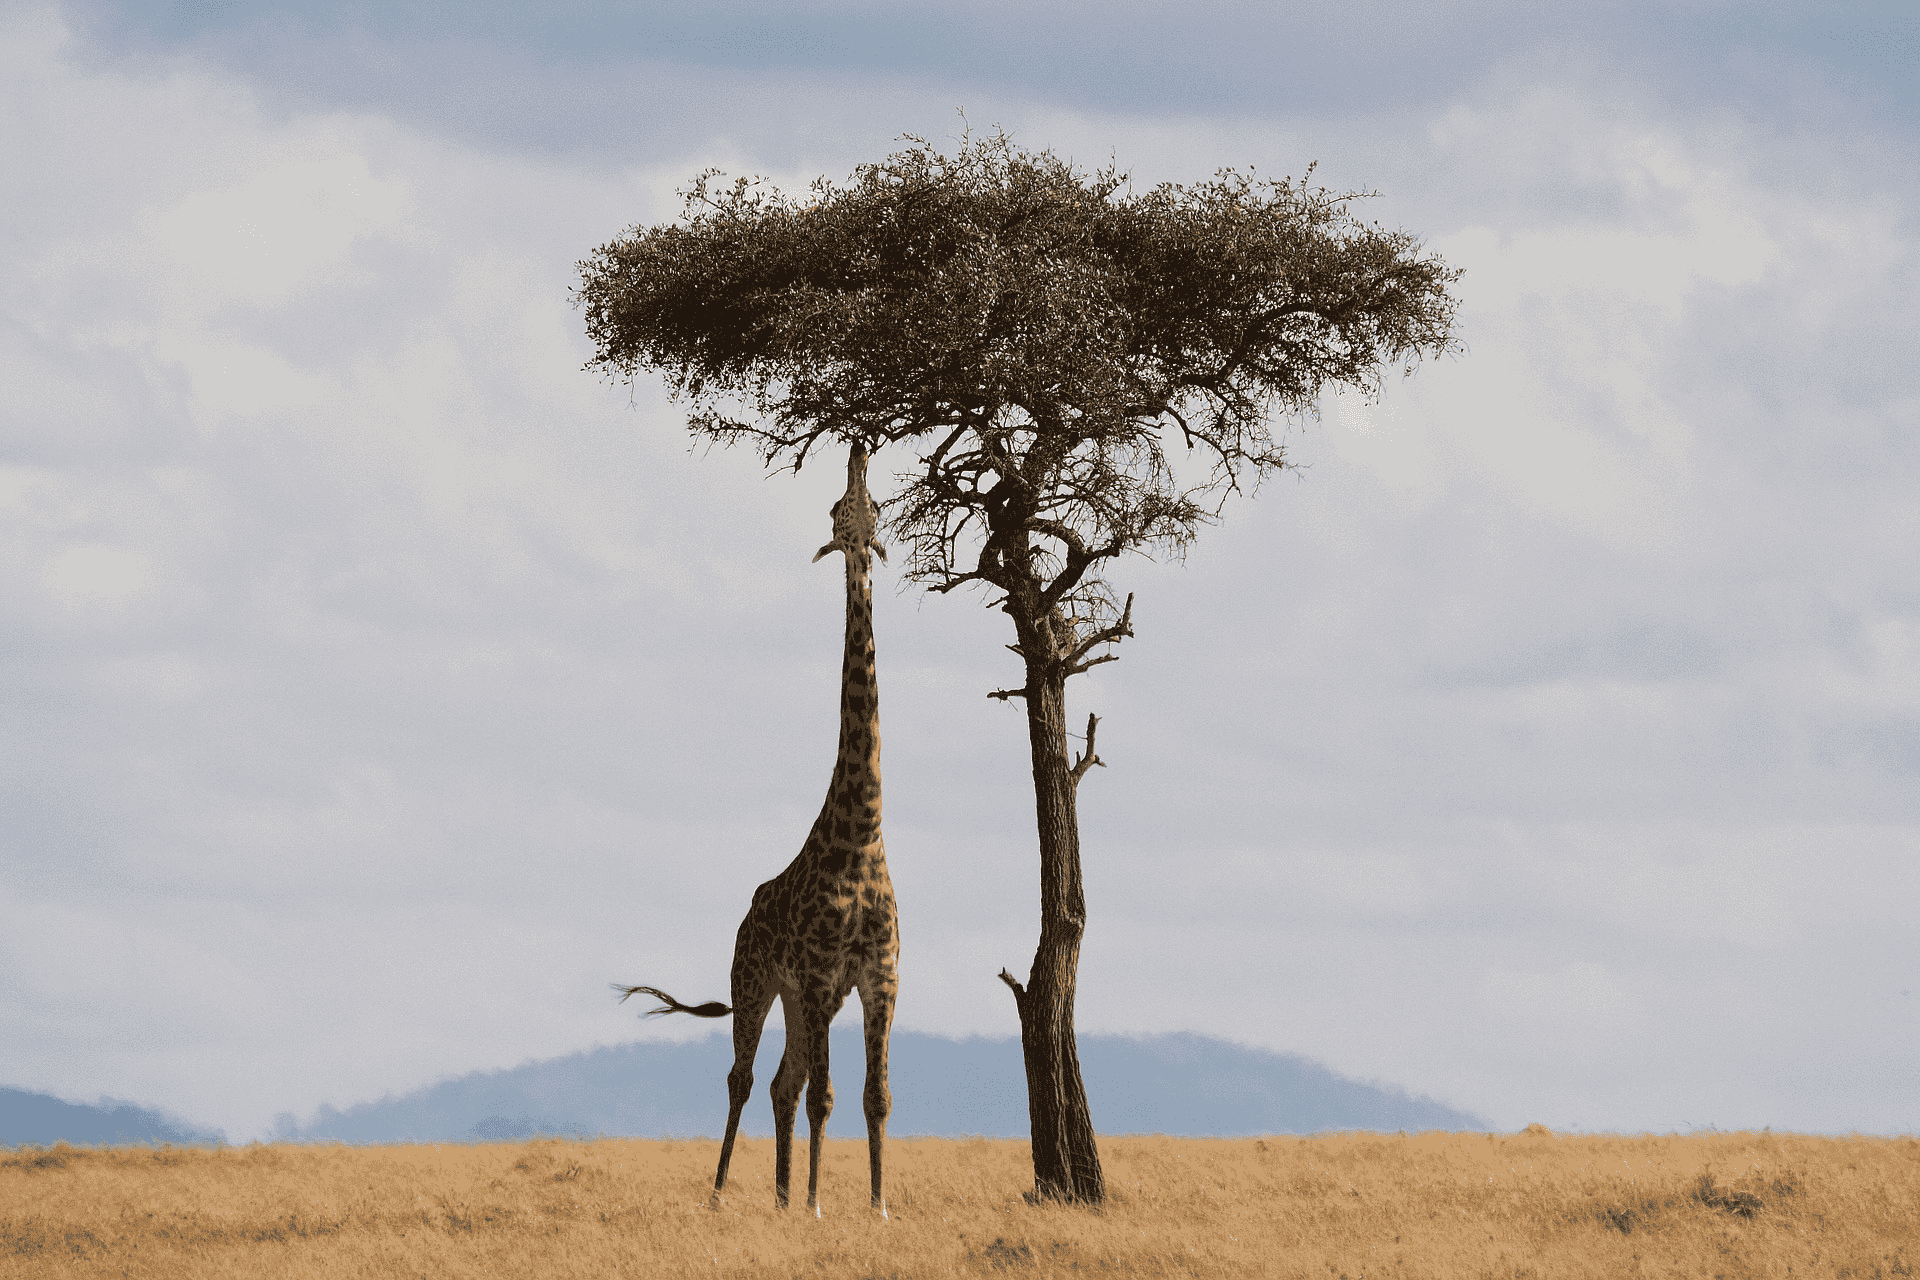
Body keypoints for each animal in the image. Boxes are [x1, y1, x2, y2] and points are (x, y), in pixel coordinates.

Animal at [616, 442, 899, 1218]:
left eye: (873, 506)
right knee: (746, 1078)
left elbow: (875, 1095)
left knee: (782, 1083)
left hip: (802, 1000)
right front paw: (819, 1206)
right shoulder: (821, 972)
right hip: (756, 982)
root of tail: (745, 914)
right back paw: (723, 1195)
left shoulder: (878, 976)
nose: (859, 448)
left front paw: (876, 1208)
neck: (862, 834)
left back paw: (777, 1198)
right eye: (838, 508)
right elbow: (828, 1095)